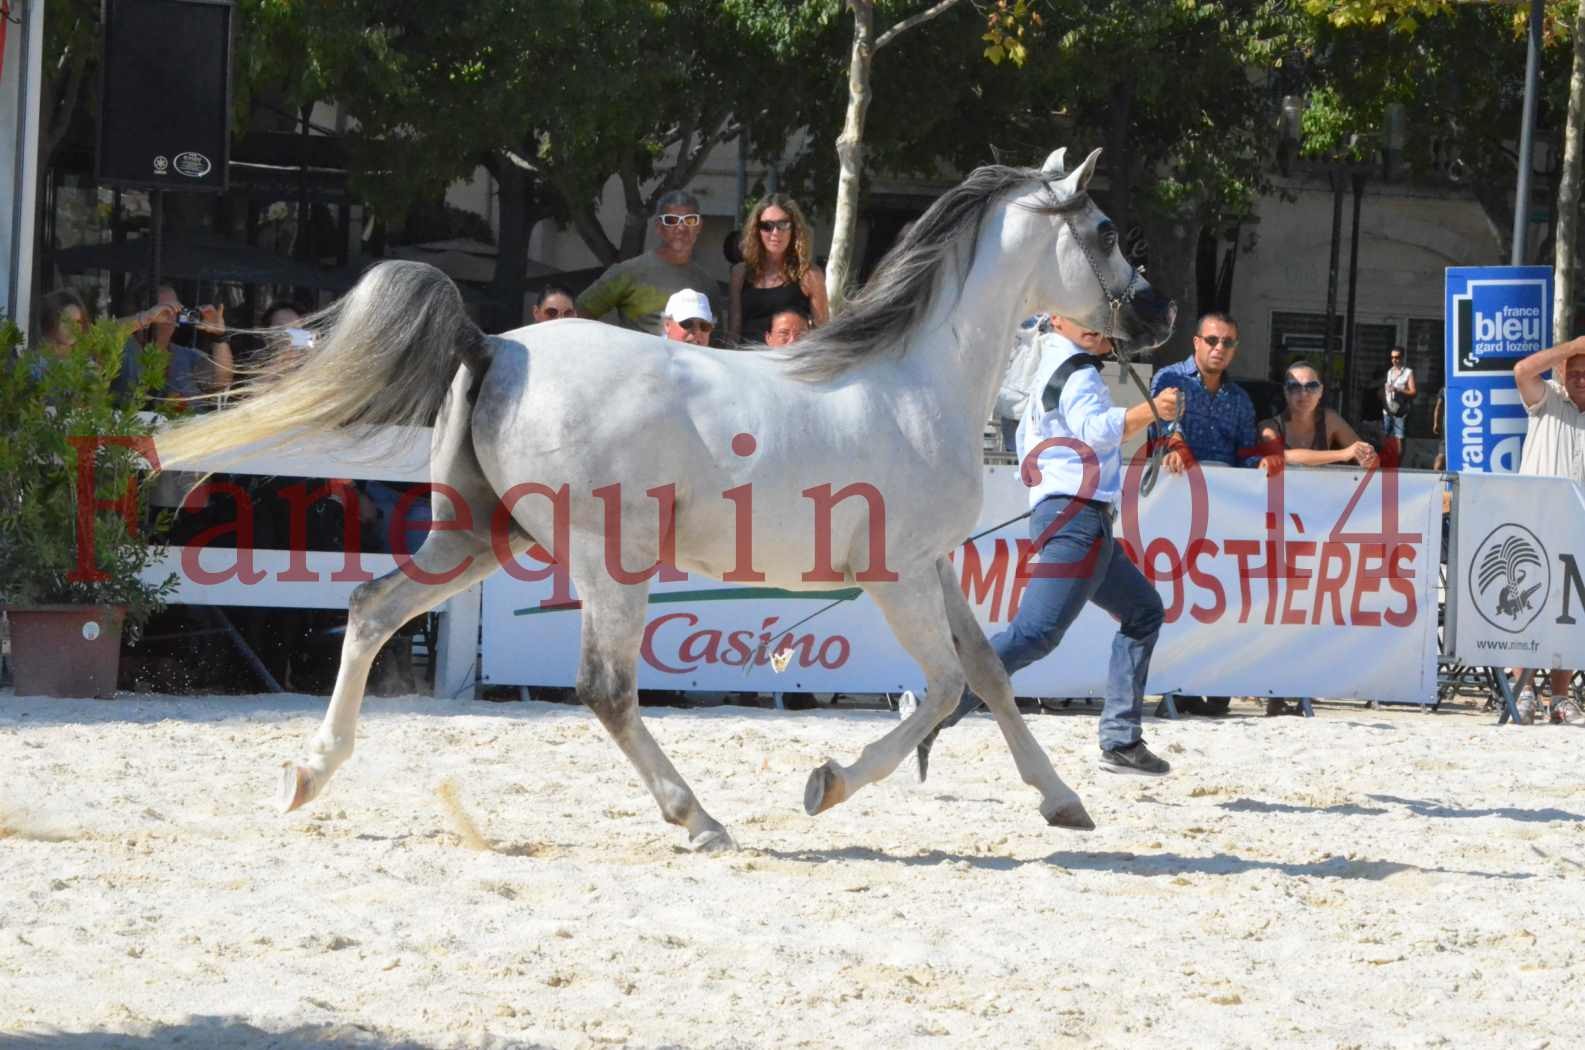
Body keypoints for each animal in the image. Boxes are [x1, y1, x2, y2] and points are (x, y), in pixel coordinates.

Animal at [160, 148, 1179, 856]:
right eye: (1104, 229)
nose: (1157, 313)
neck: (912, 381)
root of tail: (495, 344)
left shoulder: (932, 567)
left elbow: (991, 675)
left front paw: (1063, 801)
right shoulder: (895, 574)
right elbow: (940, 690)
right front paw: (826, 785)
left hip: (479, 536)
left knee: (371, 609)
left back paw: (306, 775)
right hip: (609, 561)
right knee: (604, 689)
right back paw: (699, 819)